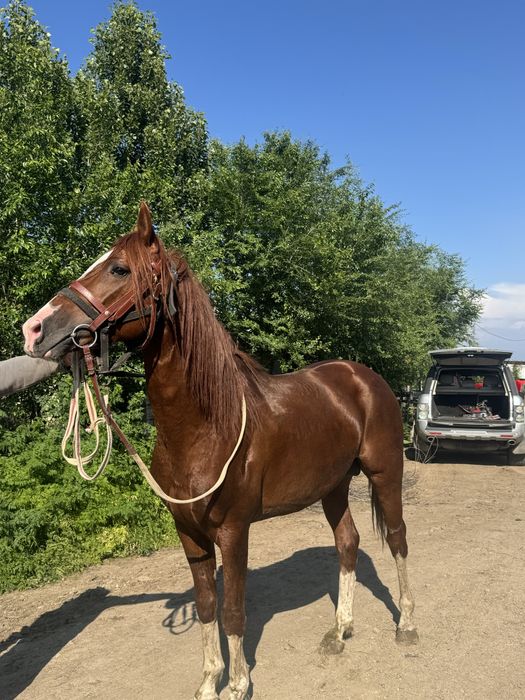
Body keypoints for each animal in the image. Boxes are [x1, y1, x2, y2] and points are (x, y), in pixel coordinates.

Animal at [22, 202, 418, 699]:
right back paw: (339, 630)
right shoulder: (189, 534)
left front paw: (237, 684)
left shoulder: (233, 532)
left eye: (119, 268)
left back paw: (406, 624)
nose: (34, 329)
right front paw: (210, 681)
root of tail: (366, 378)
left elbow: (233, 611)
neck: (207, 427)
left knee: (398, 539)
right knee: (347, 543)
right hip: (334, 486)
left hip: (385, 473)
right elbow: (207, 605)